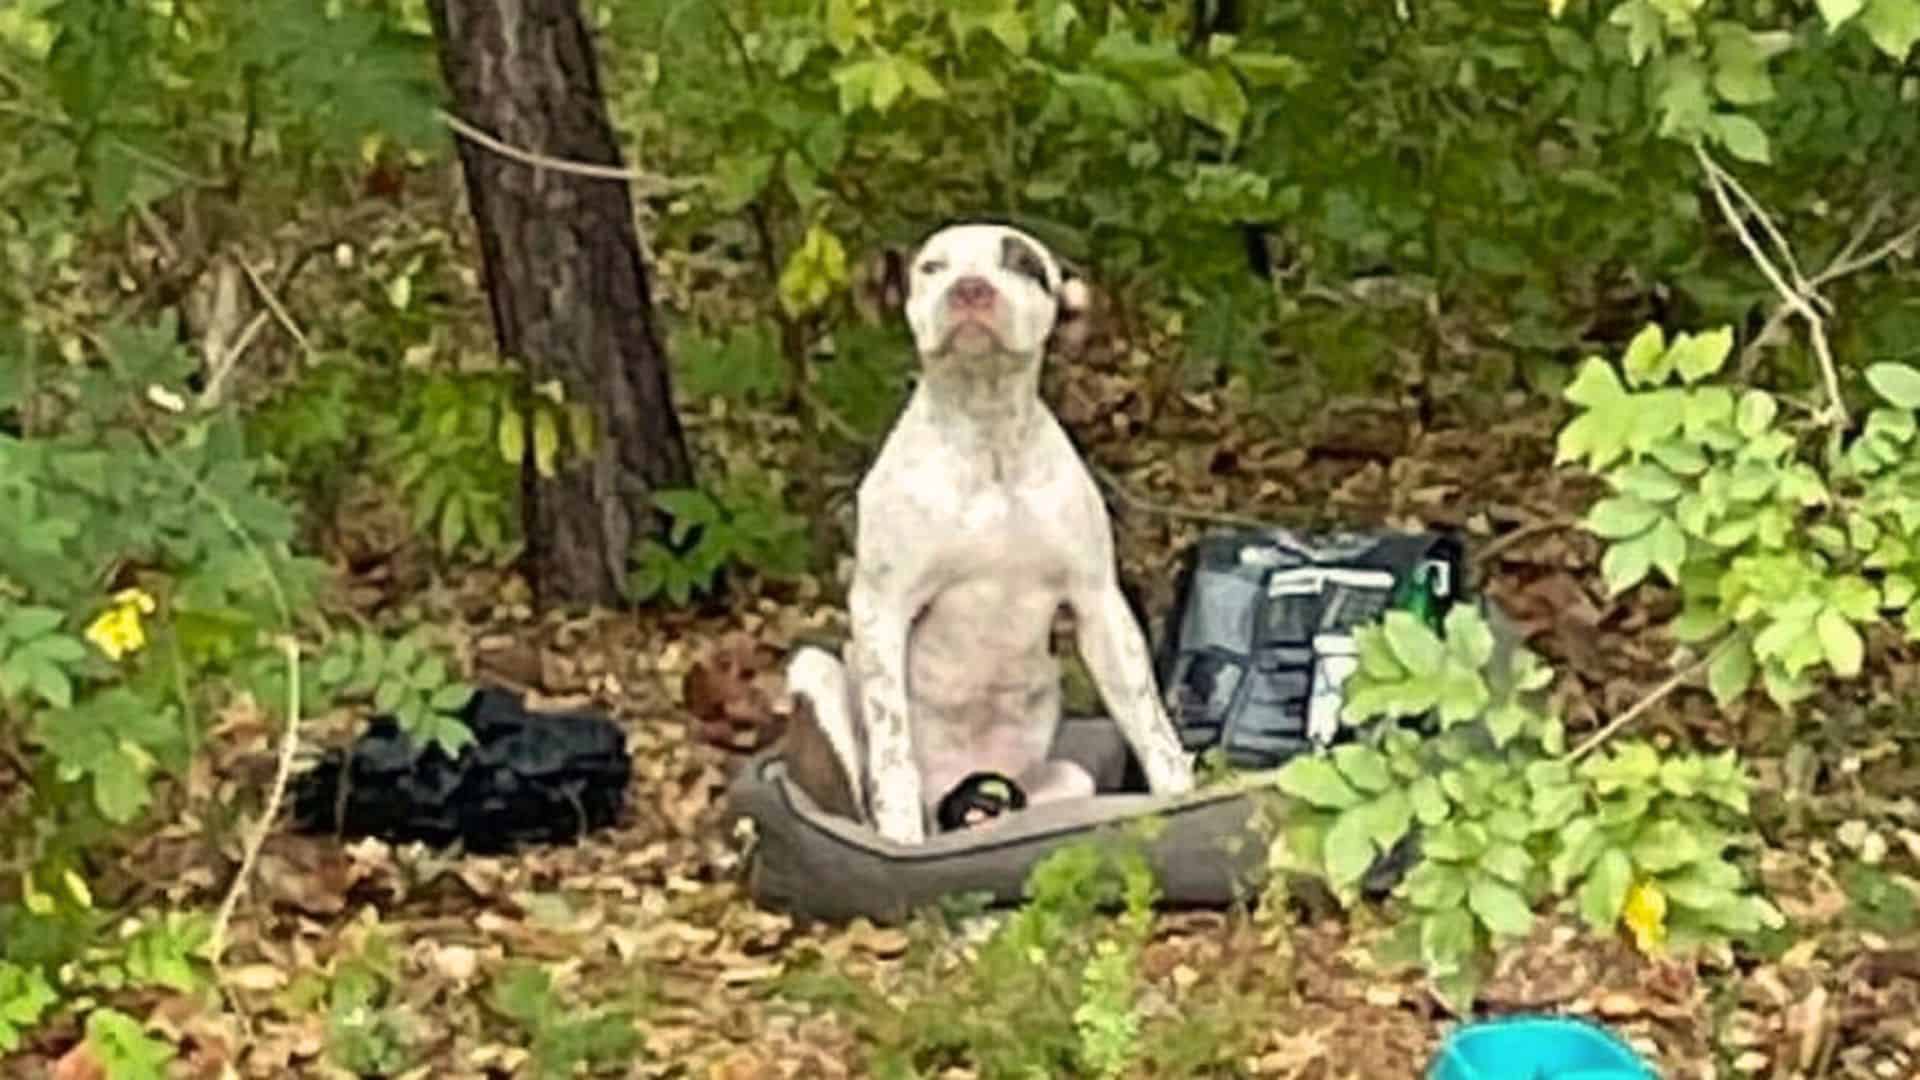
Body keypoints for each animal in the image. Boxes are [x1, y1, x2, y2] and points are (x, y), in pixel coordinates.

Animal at [787, 220, 1190, 841]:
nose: (970, 289)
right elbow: (892, 749)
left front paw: (1183, 793)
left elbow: (1151, 722)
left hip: (1064, 779)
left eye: (1024, 265)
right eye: (932, 267)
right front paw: (900, 838)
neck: (988, 435)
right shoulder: (880, 607)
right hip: (815, 674)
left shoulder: (1099, 602)